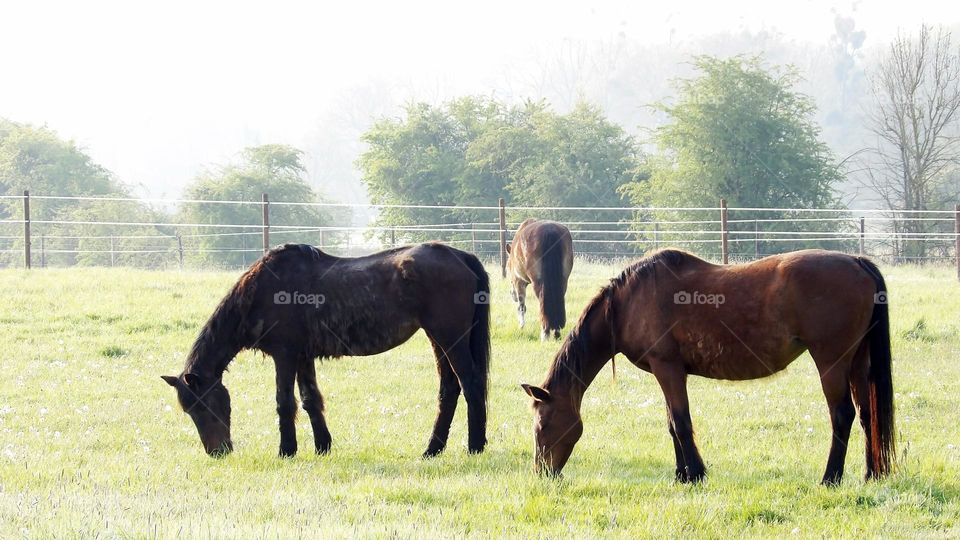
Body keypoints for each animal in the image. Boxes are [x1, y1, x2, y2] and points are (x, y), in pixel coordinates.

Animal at [162, 242, 491, 458]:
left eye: (204, 405)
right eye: (189, 410)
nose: (217, 452)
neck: (261, 291)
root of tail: (459, 255)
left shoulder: (285, 355)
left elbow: (285, 402)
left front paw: (287, 451)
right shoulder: (303, 357)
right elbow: (310, 400)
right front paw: (323, 446)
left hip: (449, 338)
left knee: (470, 384)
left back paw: (474, 446)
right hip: (438, 340)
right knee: (449, 389)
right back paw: (433, 449)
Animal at [522, 249, 895, 485]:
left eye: (542, 424)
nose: (543, 473)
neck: (627, 303)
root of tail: (858, 263)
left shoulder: (667, 368)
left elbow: (681, 422)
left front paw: (695, 474)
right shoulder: (667, 372)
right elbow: (672, 423)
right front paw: (682, 474)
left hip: (831, 361)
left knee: (842, 415)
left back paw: (830, 478)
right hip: (858, 362)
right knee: (868, 415)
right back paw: (871, 474)